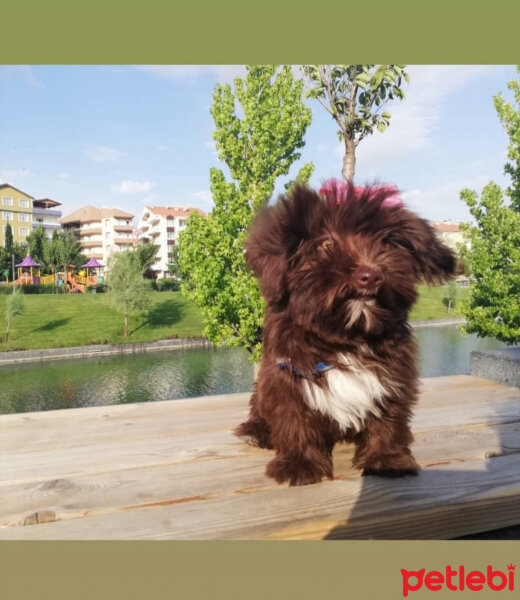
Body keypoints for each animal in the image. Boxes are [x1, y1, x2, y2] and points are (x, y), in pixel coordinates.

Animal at [235, 180, 456, 486]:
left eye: (386, 243)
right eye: (327, 244)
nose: (371, 275)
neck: (346, 340)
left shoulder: (393, 375)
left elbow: (388, 418)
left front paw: (386, 460)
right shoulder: (287, 375)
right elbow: (294, 418)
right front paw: (299, 463)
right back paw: (257, 432)